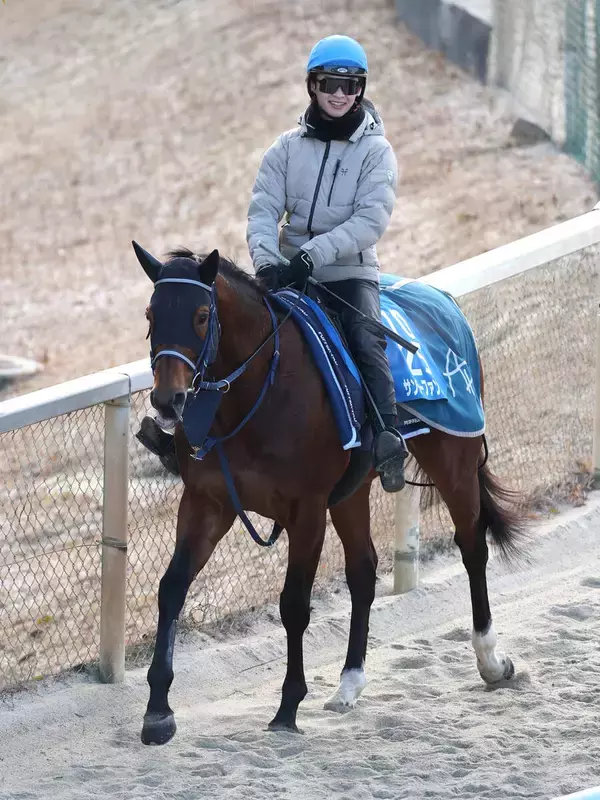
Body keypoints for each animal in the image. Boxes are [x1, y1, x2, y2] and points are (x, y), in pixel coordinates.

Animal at [132, 242, 526, 746]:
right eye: (150, 313)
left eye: (202, 316)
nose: (168, 401)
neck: (256, 395)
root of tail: (444, 300)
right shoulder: (208, 501)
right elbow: (172, 589)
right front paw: (158, 711)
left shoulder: (307, 510)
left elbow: (294, 605)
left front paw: (287, 707)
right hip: (352, 492)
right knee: (364, 570)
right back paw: (349, 682)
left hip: (454, 458)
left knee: (472, 546)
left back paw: (490, 660)